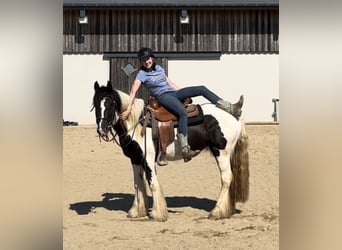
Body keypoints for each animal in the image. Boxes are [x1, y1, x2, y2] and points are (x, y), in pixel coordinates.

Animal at [92, 80, 250, 221]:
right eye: (95, 104)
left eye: (111, 103)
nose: (102, 129)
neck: (137, 123)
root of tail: (235, 116)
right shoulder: (135, 159)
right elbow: (138, 184)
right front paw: (137, 211)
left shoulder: (148, 159)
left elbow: (152, 183)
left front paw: (157, 214)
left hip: (221, 152)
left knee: (226, 178)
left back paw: (216, 212)